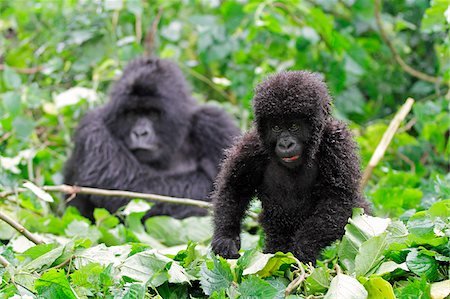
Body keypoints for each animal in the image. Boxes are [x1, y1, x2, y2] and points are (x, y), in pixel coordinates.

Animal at [65, 57, 241, 221]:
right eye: (132, 113)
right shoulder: (92, 131)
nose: (140, 133)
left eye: (152, 113)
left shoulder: (216, 126)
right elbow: (132, 189)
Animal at [213, 71, 368, 264]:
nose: (286, 144)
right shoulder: (251, 145)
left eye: (294, 126)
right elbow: (235, 188)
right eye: (276, 127)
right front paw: (226, 237)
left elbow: (338, 200)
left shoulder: (338, 142)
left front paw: (302, 248)